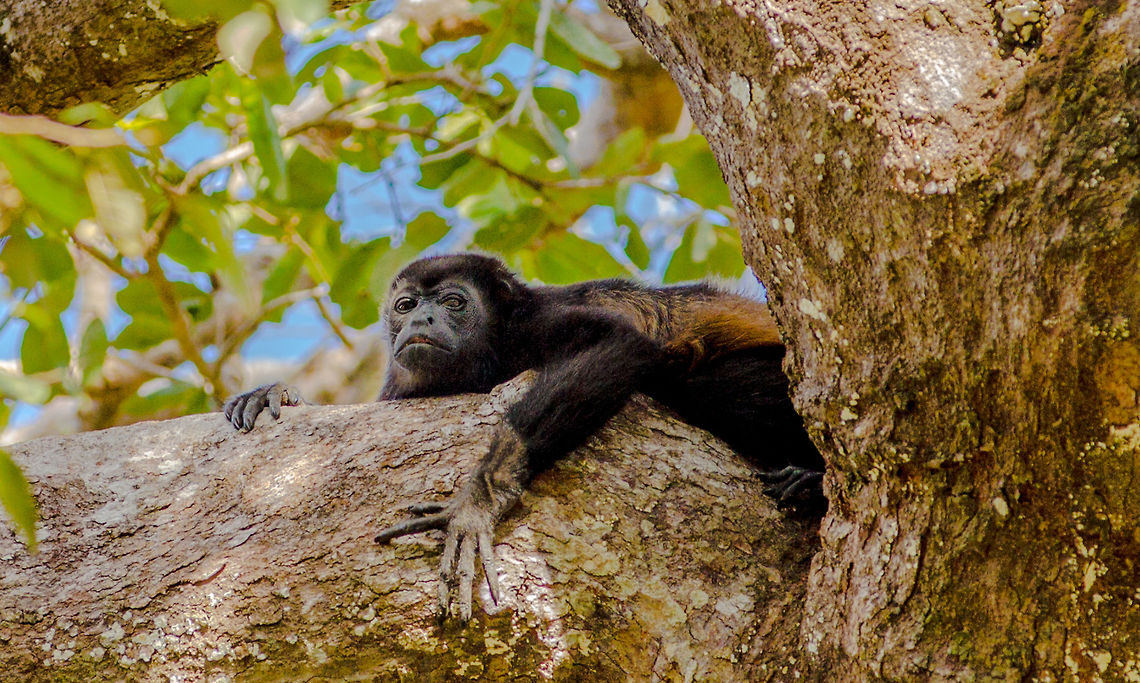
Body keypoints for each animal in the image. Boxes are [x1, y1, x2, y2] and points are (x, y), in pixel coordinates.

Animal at [223, 253, 825, 621]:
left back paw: (813, 479)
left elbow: (616, 343)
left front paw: (477, 503)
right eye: (406, 305)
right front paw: (278, 394)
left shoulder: (537, 322)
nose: (420, 323)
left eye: (454, 302)